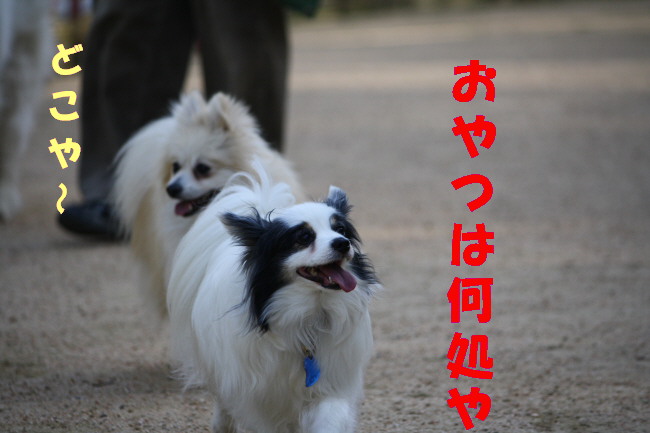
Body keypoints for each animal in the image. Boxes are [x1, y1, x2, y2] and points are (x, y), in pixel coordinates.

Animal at [167, 162, 380, 433]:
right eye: (303, 238)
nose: (342, 243)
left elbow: (328, 418)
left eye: (340, 230)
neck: (308, 314)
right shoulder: (259, 398)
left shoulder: (330, 385)